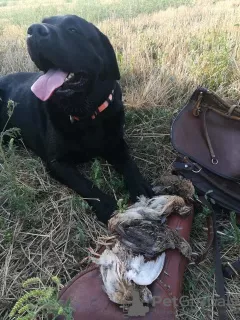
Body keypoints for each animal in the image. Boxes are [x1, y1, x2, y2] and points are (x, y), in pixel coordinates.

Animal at [0, 14, 154, 222]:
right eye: (44, 21)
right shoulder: (57, 163)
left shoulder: (116, 143)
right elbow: (86, 185)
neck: (87, 115)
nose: (33, 30)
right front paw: (109, 207)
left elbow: (129, 163)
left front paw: (141, 187)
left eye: (73, 29)